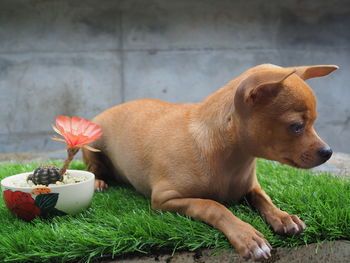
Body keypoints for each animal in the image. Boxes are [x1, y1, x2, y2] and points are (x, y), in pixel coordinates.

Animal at [83, 64, 338, 262]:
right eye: (296, 126)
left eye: (313, 123)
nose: (328, 152)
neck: (232, 159)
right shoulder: (164, 199)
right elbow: (212, 205)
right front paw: (248, 237)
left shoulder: (251, 186)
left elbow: (263, 198)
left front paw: (283, 217)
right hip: (93, 142)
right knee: (93, 168)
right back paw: (98, 183)